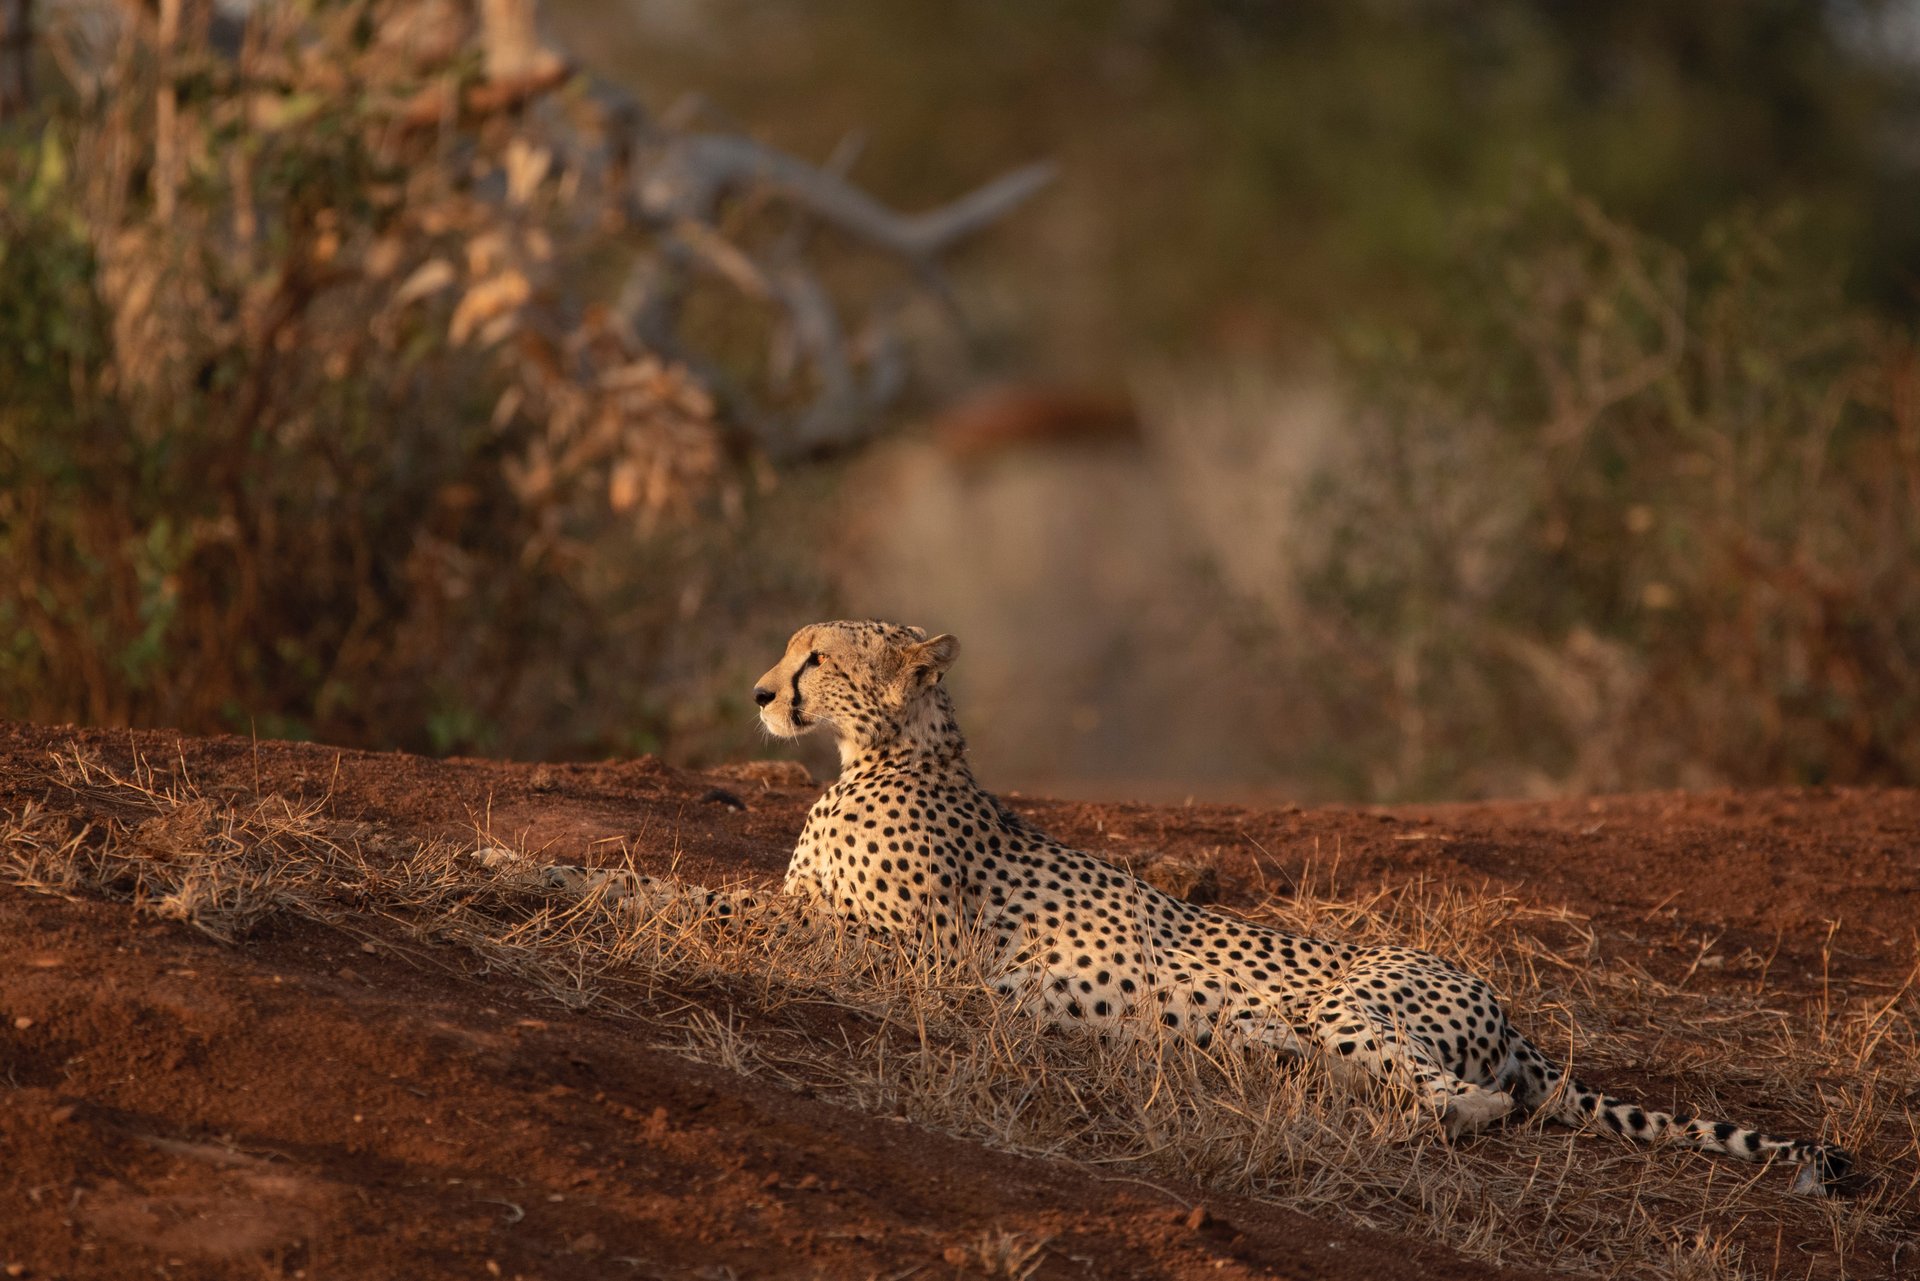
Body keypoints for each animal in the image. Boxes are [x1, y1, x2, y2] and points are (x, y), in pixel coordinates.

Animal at [483, 619, 1852, 1194]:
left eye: (816, 655)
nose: (762, 694)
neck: (886, 756)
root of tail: (1505, 1007)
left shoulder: (878, 954)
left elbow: (682, 891)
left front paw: (524, 868)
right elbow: (680, 887)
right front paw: (519, 864)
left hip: (1367, 1010)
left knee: (1467, 1104)